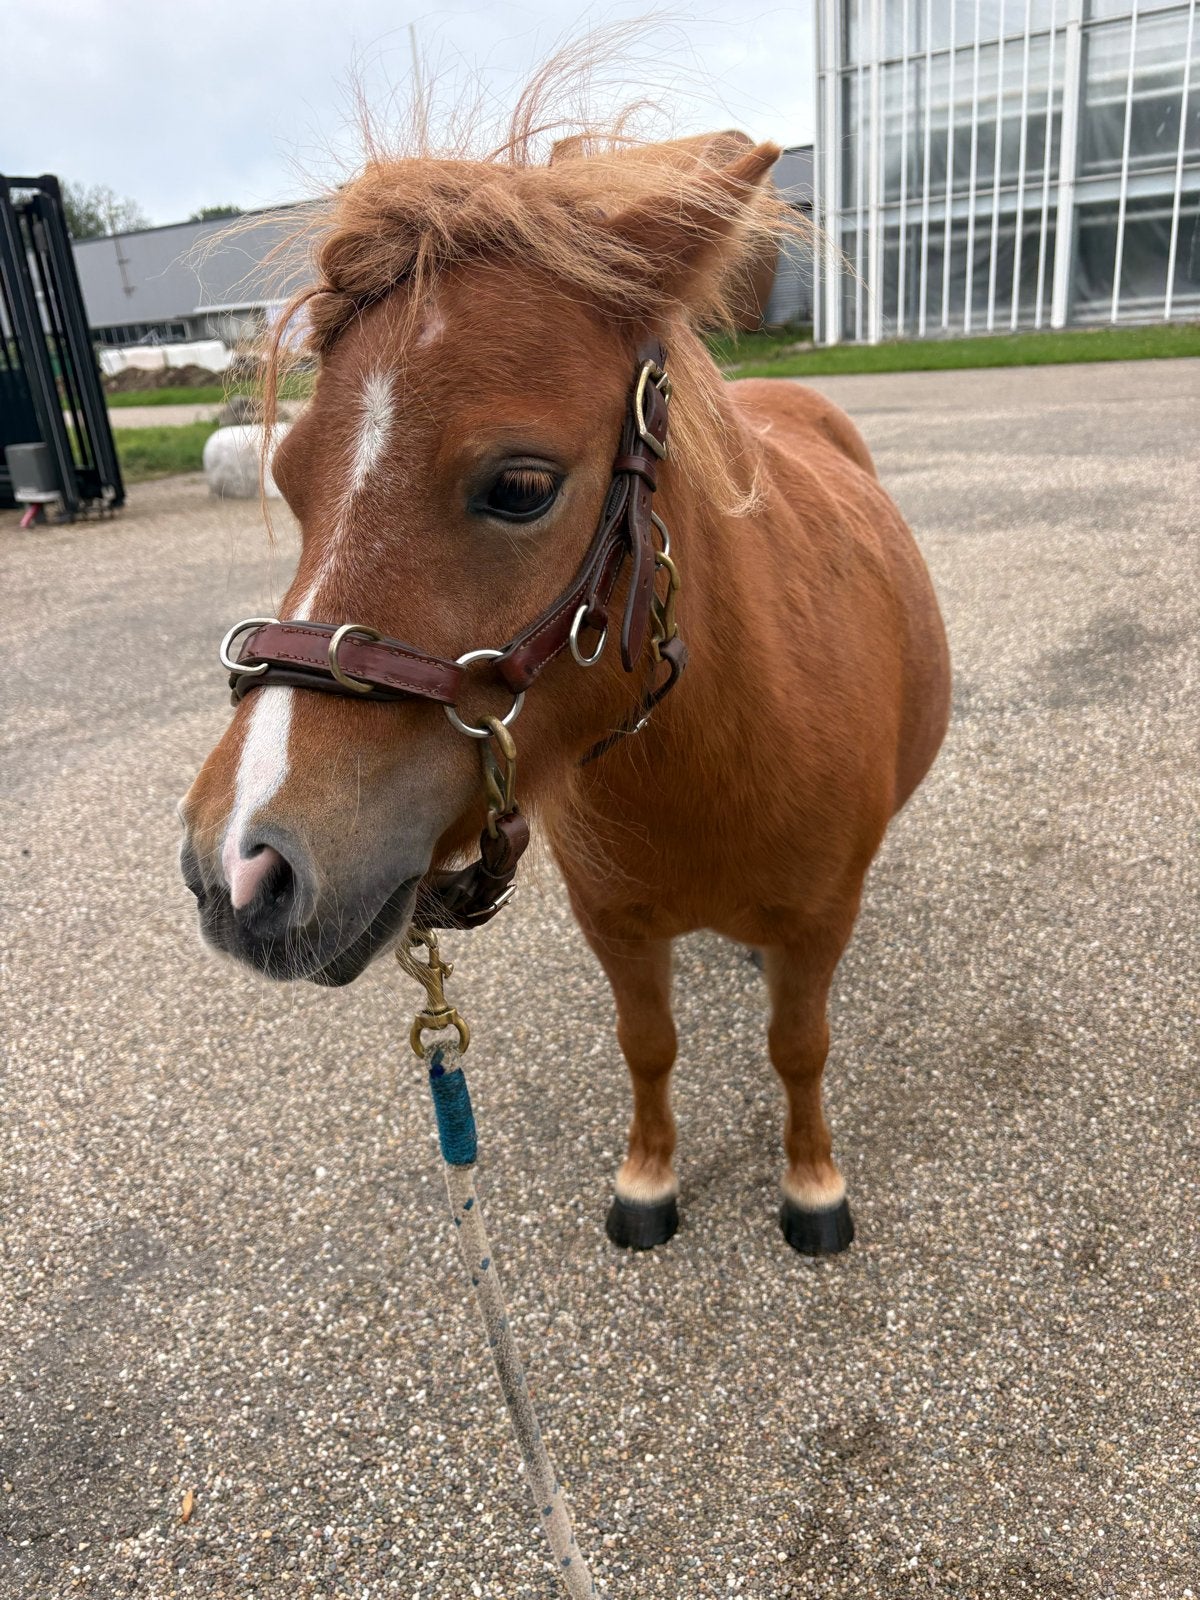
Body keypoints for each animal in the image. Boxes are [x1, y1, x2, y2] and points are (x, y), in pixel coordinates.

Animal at [179, 116, 951, 1257]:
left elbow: (799, 1048)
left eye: (521, 486)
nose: (235, 868)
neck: (718, 749)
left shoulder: (818, 923)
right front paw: (649, 1177)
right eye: (287, 478)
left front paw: (812, 1184)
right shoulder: (617, 928)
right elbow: (649, 1046)